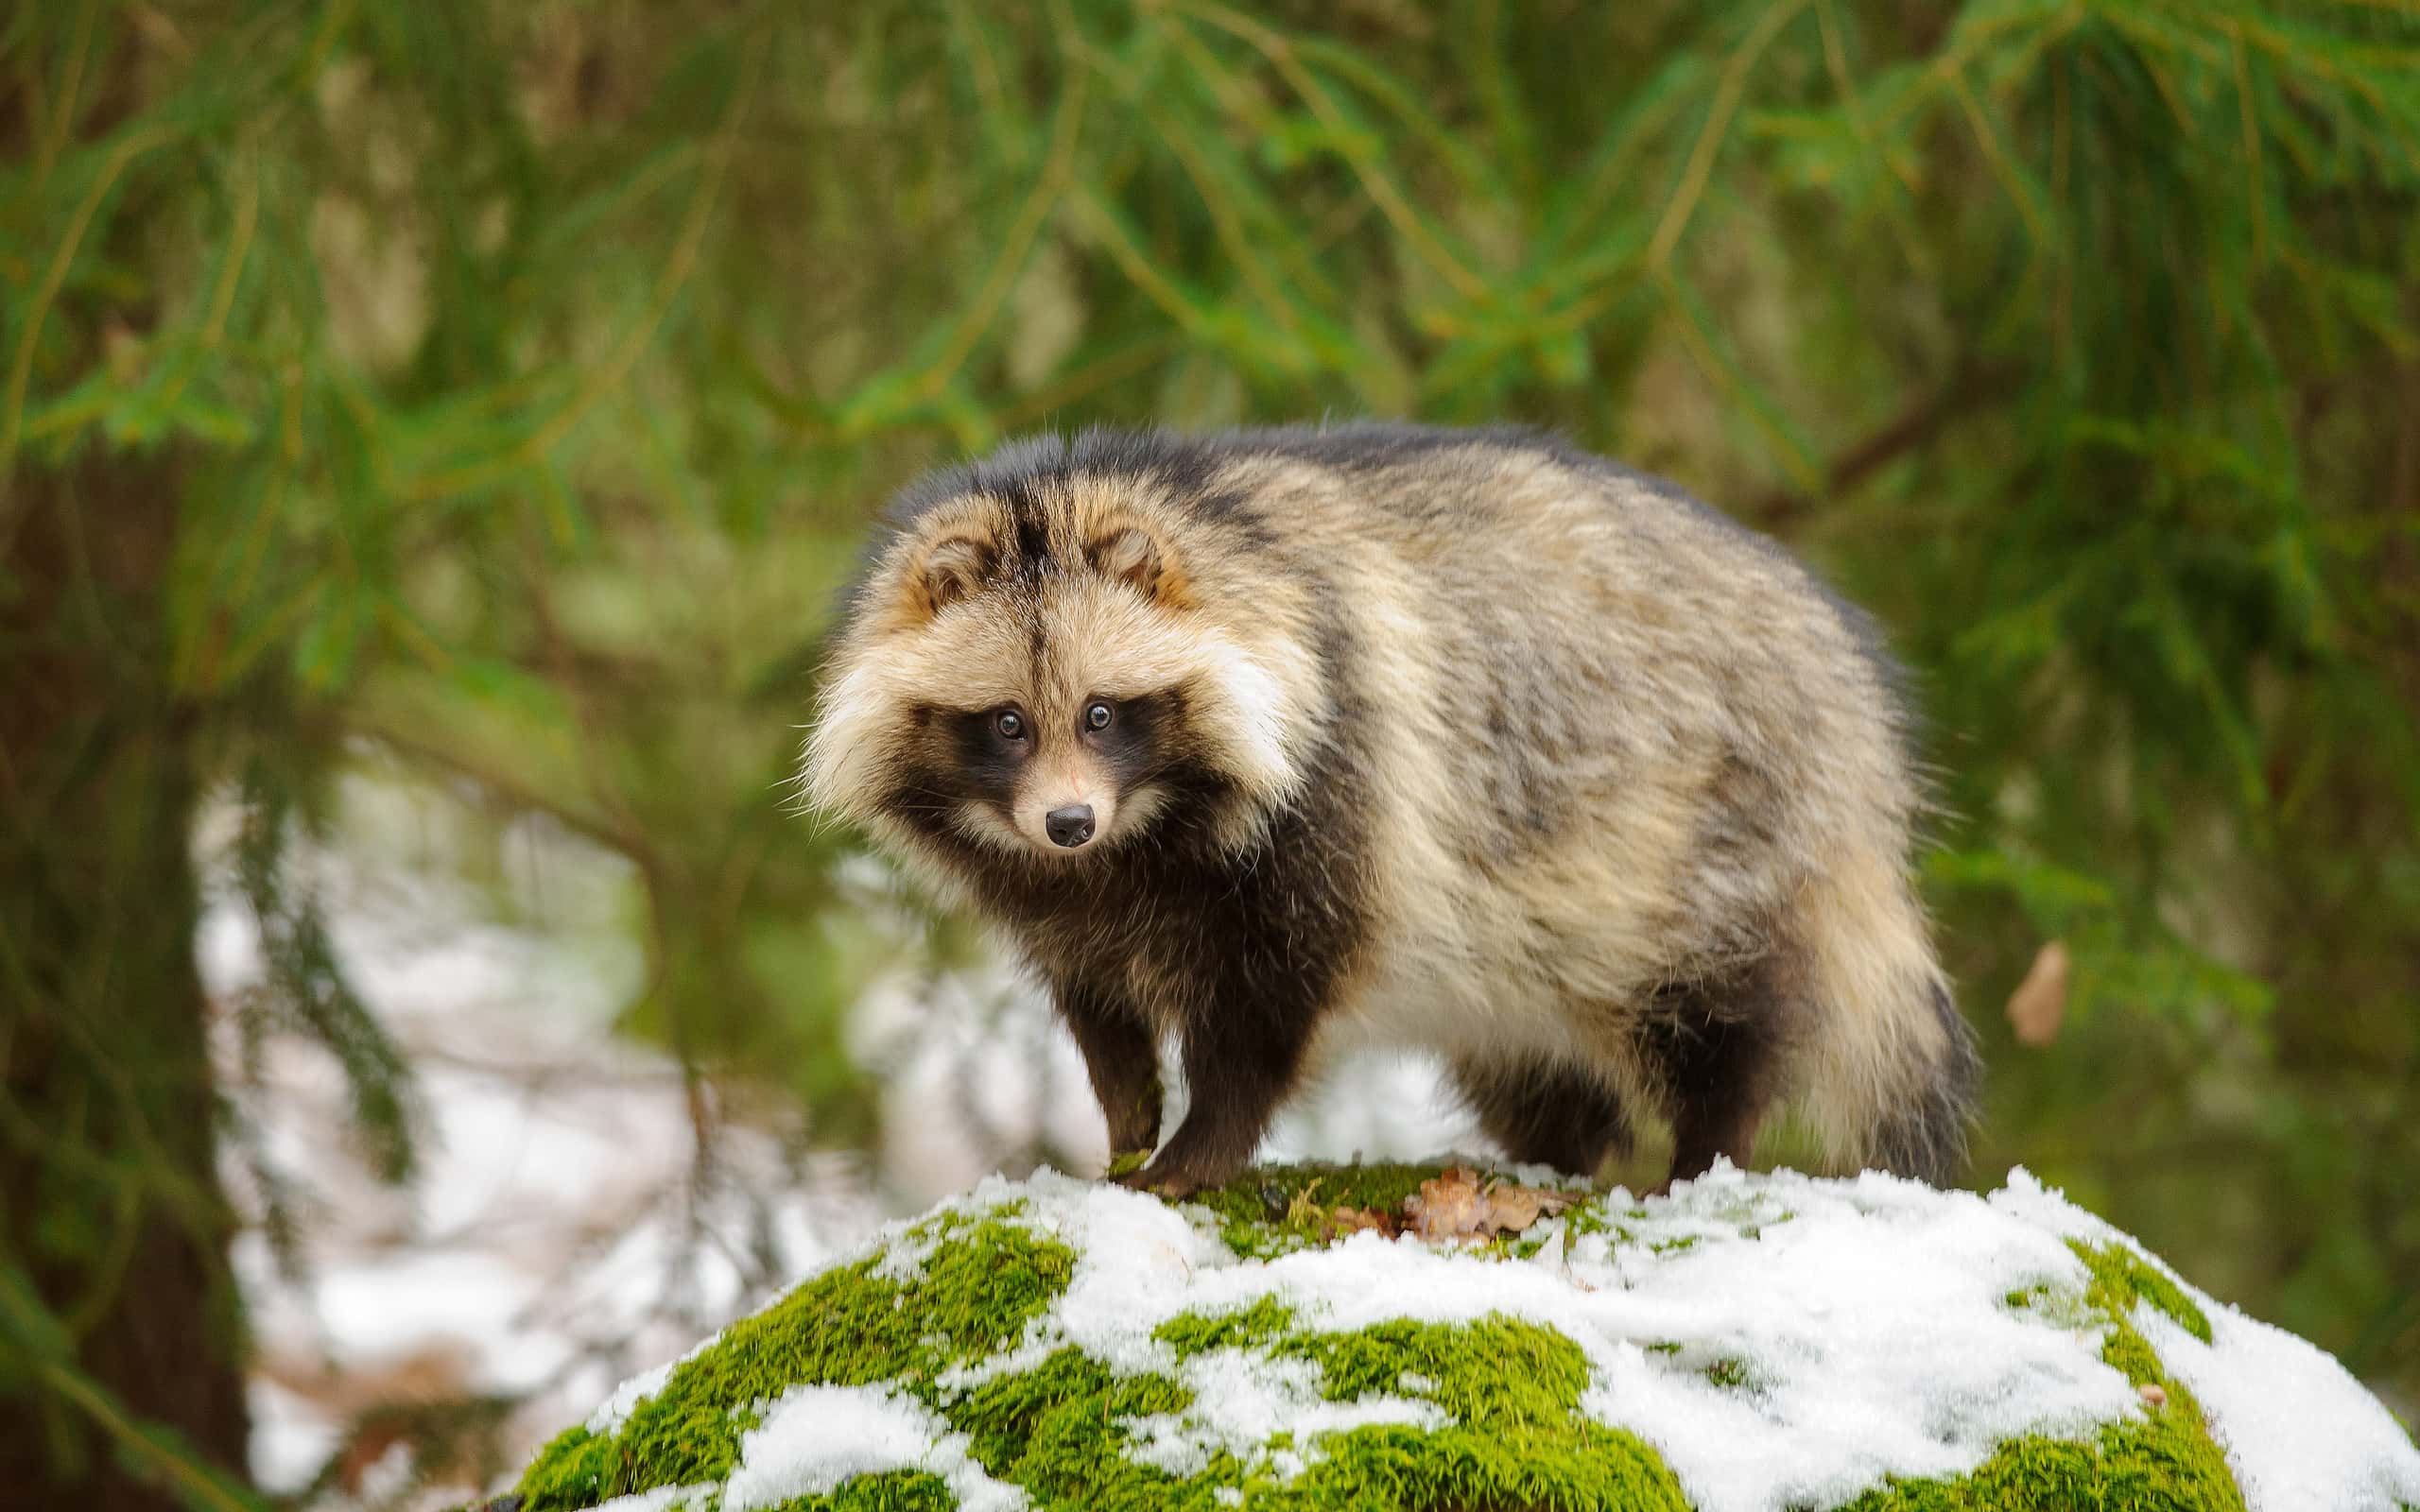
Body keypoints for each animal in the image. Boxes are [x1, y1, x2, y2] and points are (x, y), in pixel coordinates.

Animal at [802, 423, 1981, 1199]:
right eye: (1006, 723)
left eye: (1100, 713)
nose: (1066, 824)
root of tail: (1854, 698)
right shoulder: (1057, 896)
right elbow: (1098, 1004)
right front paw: (1127, 1117)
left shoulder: (1339, 776)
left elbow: (1270, 1000)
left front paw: (1197, 1145)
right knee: (1536, 1065)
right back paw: (1553, 1154)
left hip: (1712, 835)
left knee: (1721, 1017)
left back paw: (1703, 1152)